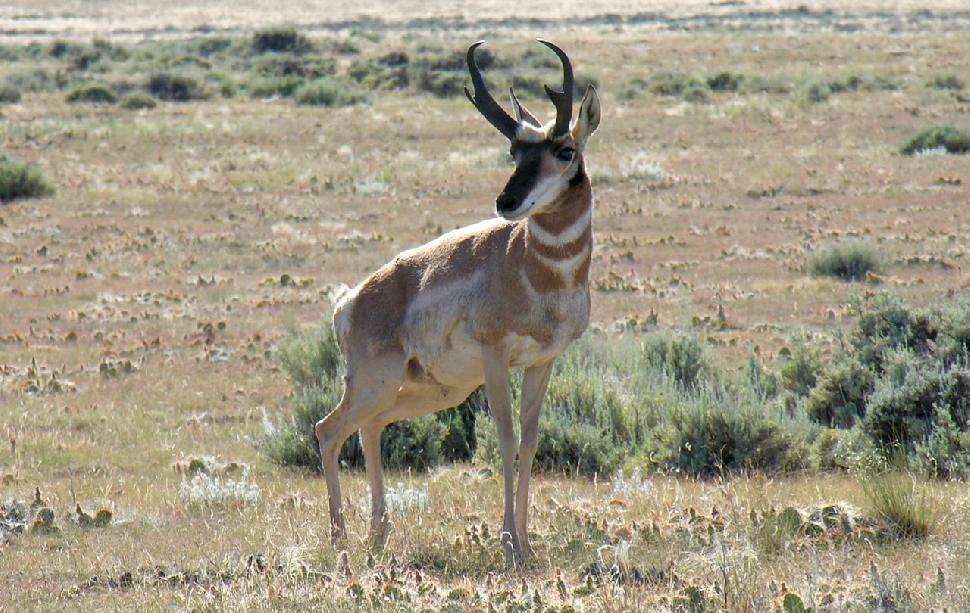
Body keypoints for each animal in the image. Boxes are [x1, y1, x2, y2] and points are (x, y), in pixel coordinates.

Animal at [314, 38, 596, 560]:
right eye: (514, 151)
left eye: (565, 150)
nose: (507, 203)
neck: (534, 270)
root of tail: (351, 299)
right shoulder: (495, 358)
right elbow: (505, 438)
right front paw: (509, 544)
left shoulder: (542, 362)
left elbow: (530, 440)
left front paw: (527, 545)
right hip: (377, 382)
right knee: (329, 429)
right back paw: (340, 540)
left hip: (428, 391)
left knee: (368, 427)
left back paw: (378, 534)